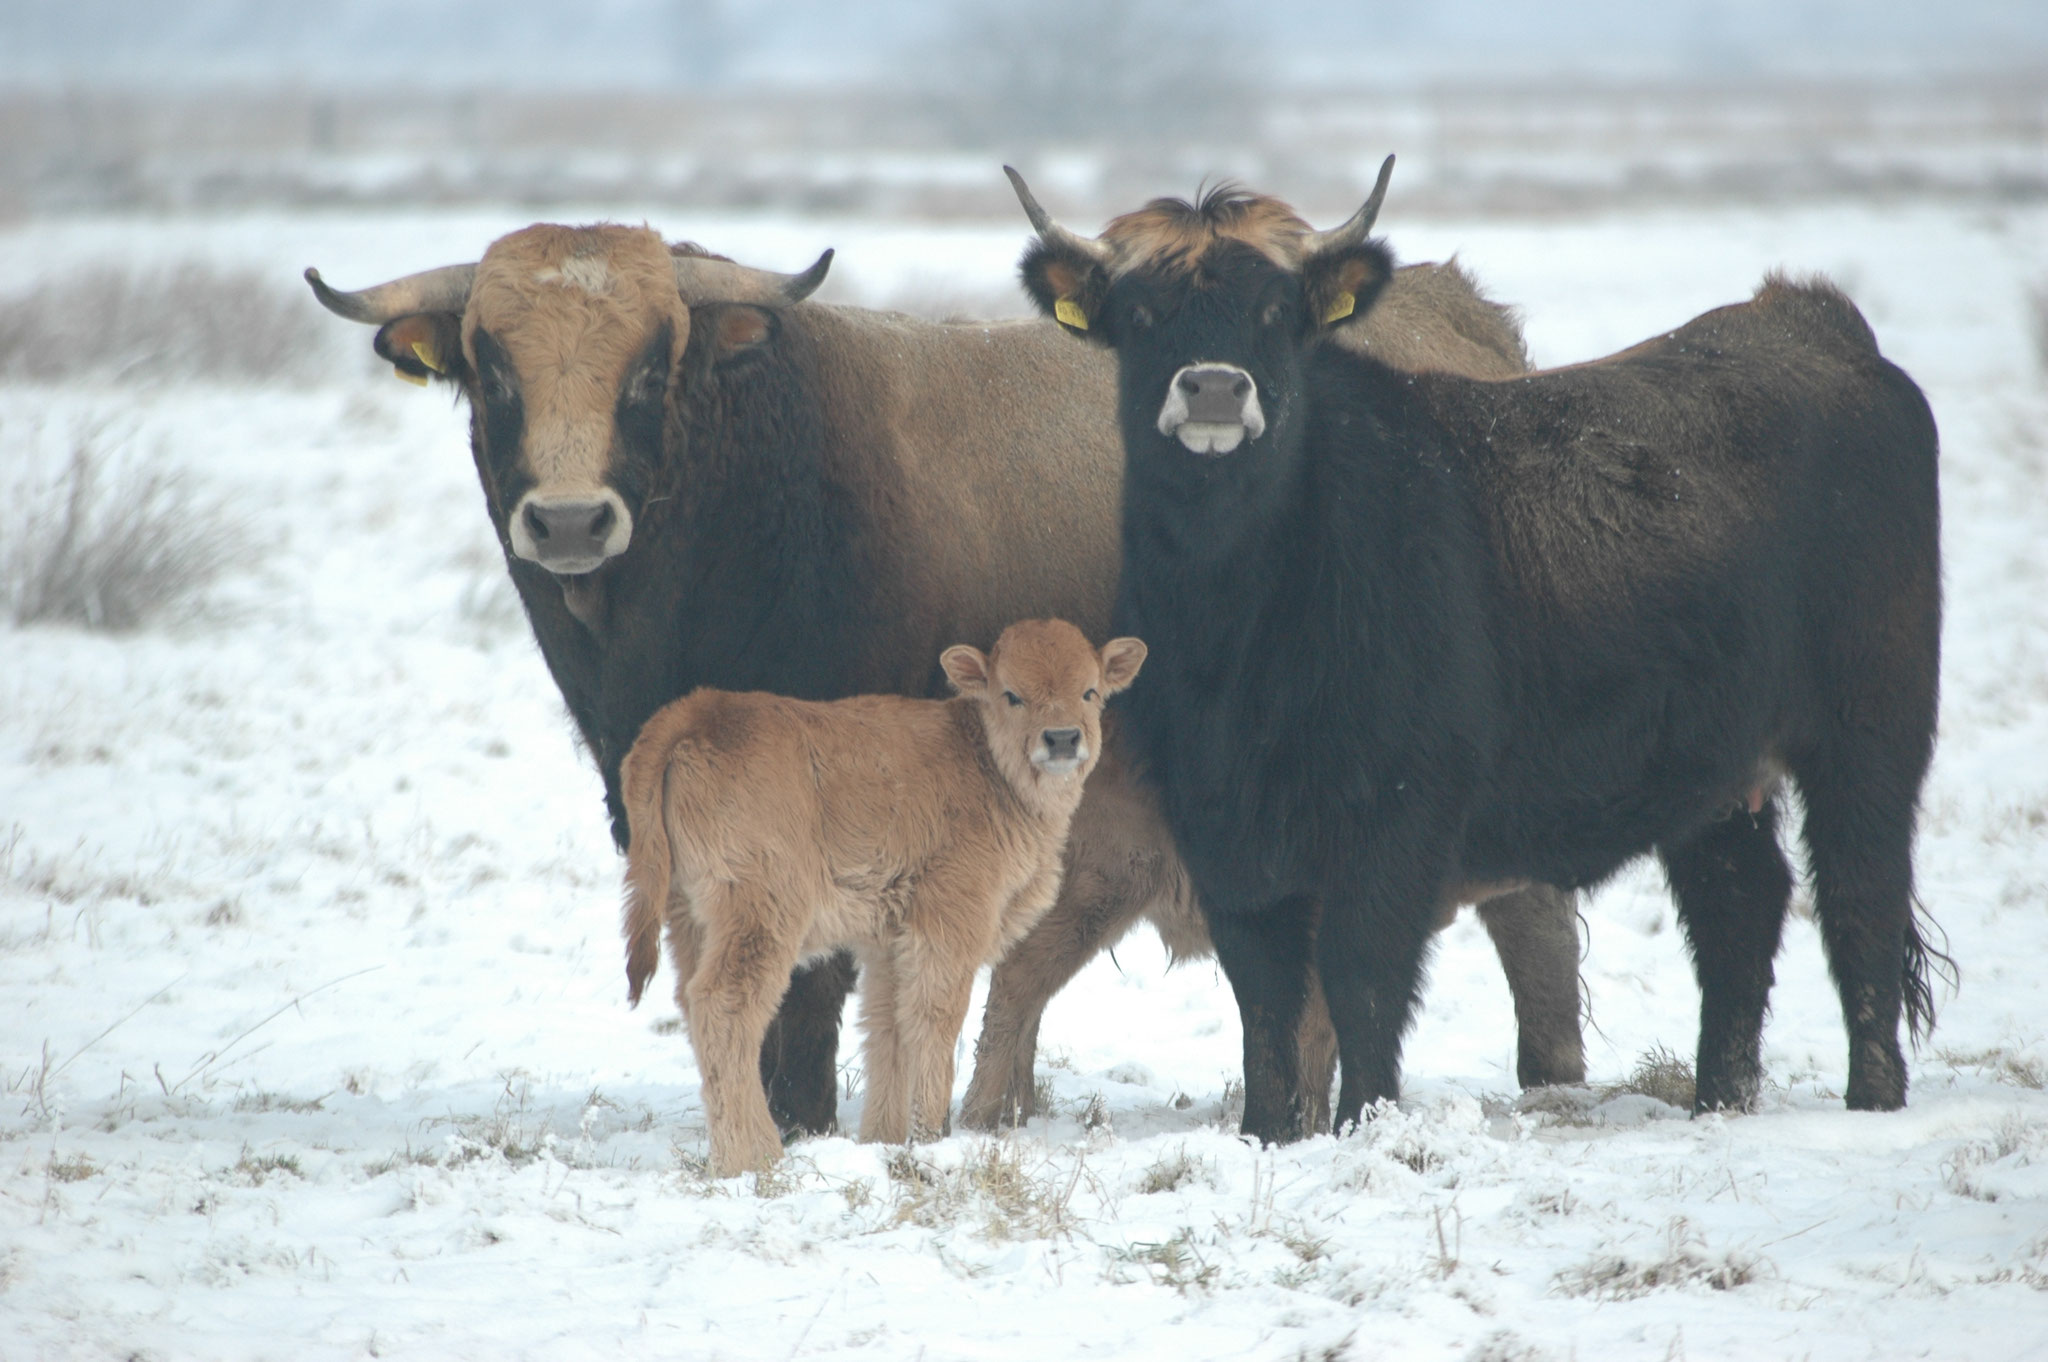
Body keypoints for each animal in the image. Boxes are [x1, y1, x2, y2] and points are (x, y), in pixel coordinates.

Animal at [614, 618, 1146, 1171]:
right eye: (1012, 694)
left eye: (1089, 691)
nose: (1062, 739)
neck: (985, 764)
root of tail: (699, 712)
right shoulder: (949, 926)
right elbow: (935, 1020)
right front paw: (931, 1136)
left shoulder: (889, 941)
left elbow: (887, 1027)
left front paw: (883, 1139)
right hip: (761, 915)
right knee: (724, 1004)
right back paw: (755, 1154)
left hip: (687, 916)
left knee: (691, 1004)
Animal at [1015, 156, 1941, 1138]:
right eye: (1142, 314)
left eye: (1275, 310)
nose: (1217, 389)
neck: (1245, 617)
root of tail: (1810, 324)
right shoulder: (1222, 823)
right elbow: (1263, 993)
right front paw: (1267, 1131)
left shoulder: (1399, 815)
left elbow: (1362, 976)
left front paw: (1365, 1122)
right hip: (1717, 768)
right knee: (1739, 907)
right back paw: (1718, 1101)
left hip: (1871, 730)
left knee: (1861, 895)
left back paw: (1873, 1097)